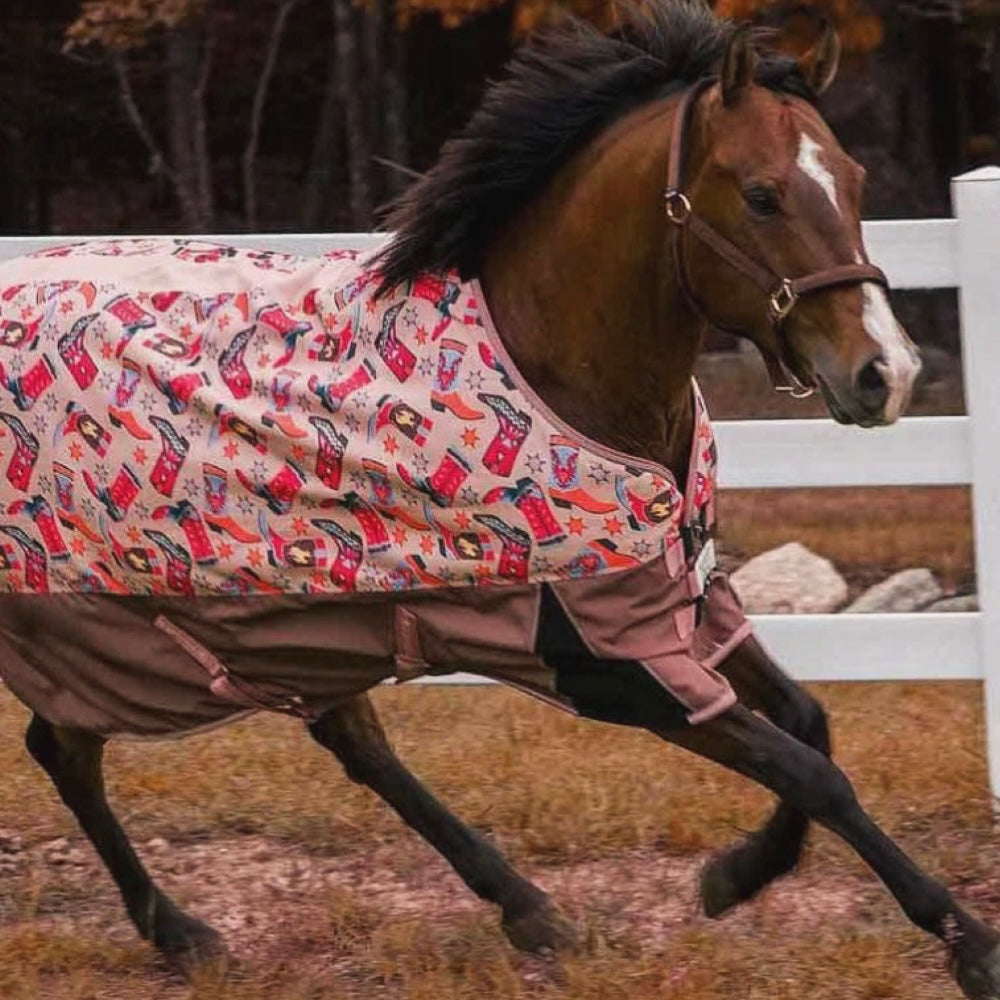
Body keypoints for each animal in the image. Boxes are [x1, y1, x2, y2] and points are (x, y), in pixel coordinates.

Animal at [0, 2, 995, 996]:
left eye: (856, 182)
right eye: (761, 194)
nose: (887, 373)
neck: (552, 366)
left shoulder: (682, 603)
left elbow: (809, 725)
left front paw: (736, 875)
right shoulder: (603, 659)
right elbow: (808, 771)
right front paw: (966, 943)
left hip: (271, 624)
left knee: (312, 742)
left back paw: (521, 910)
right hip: (103, 619)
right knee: (73, 752)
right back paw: (184, 929)